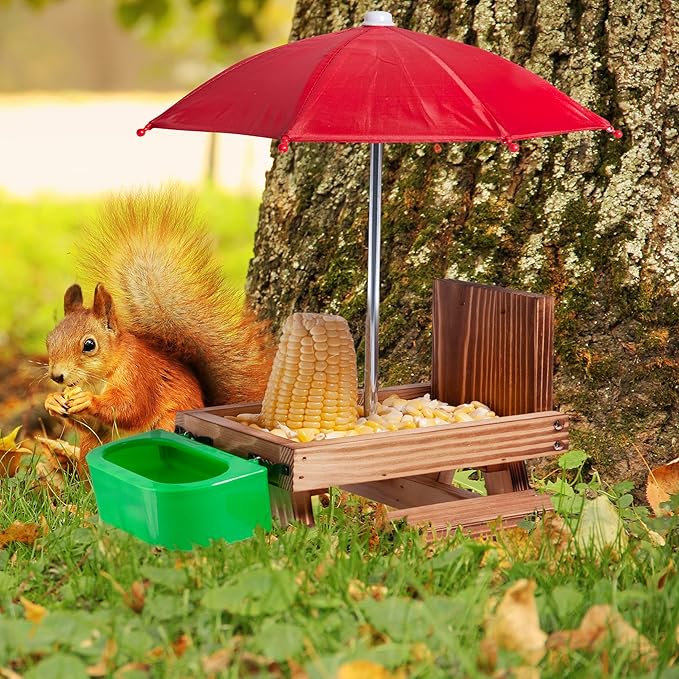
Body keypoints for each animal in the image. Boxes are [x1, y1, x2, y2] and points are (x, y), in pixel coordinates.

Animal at [44, 189, 273, 458]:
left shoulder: (138, 375)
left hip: (168, 422)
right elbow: (91, 425)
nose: (57, 376)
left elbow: (129, 406)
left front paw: (88, 400)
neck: (97, 378)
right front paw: (53, 401)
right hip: (91, 446)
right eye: (49, 340)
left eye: (89, 345)